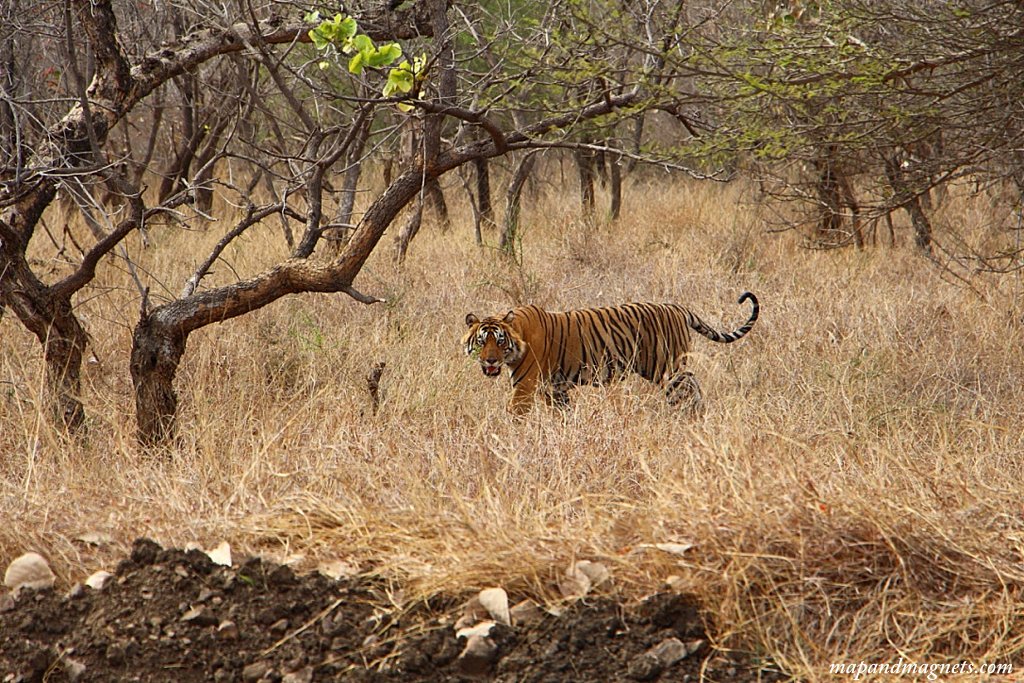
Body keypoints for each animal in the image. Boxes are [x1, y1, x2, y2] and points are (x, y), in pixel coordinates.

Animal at [463, 292, 759, 414]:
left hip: (666, 366)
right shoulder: (555, 390)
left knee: (687, 387)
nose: (490, 360)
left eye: (500, 342)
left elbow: (513, 414)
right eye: (481, 342)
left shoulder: (525, 387)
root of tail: (677, 307)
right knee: (694, 385)